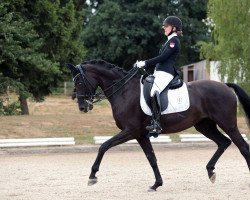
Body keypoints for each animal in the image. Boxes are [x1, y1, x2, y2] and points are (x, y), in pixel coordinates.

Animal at [67, 59, 250, 191]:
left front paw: (92, 176)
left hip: (228, 124)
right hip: (204, 126)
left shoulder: (130, 131)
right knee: (224, 142)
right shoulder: (140, 135)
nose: (83, 107)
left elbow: (103, 146)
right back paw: (210, 171)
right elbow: (152, 158)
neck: (123, 91)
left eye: (79, 82)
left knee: (242, 147)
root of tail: (225, 85)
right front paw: (156, 184)